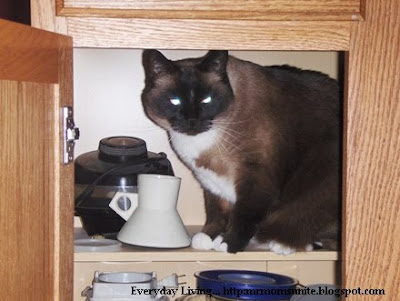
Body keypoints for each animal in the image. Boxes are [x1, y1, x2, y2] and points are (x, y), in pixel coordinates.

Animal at [141, 49, 340, 253]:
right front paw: (208, 237)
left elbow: (244, 215)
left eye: (207, 100)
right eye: (175, 101)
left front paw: (228, 243)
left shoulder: (255, 176)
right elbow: (216, 211)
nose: (191, 121)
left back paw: (284, 244)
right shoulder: (210, 181)